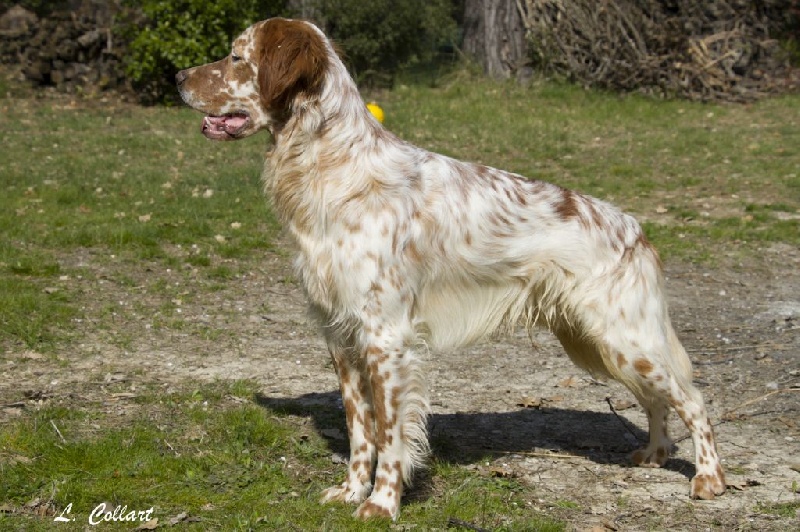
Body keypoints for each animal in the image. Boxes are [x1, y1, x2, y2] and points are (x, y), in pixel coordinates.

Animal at [175, 17, 724, 520]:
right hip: (598, 342)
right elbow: (359, 429)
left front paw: (382, 504)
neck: (333, 166)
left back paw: (709, 478)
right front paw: (351, 492)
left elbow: (390, 432)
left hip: (623, 337)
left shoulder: (386, 338)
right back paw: (654, 453)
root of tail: (635, 229)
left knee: (692, 398)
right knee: (656, 399)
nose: (177, 77)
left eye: (236, 57)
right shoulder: (340, 335)